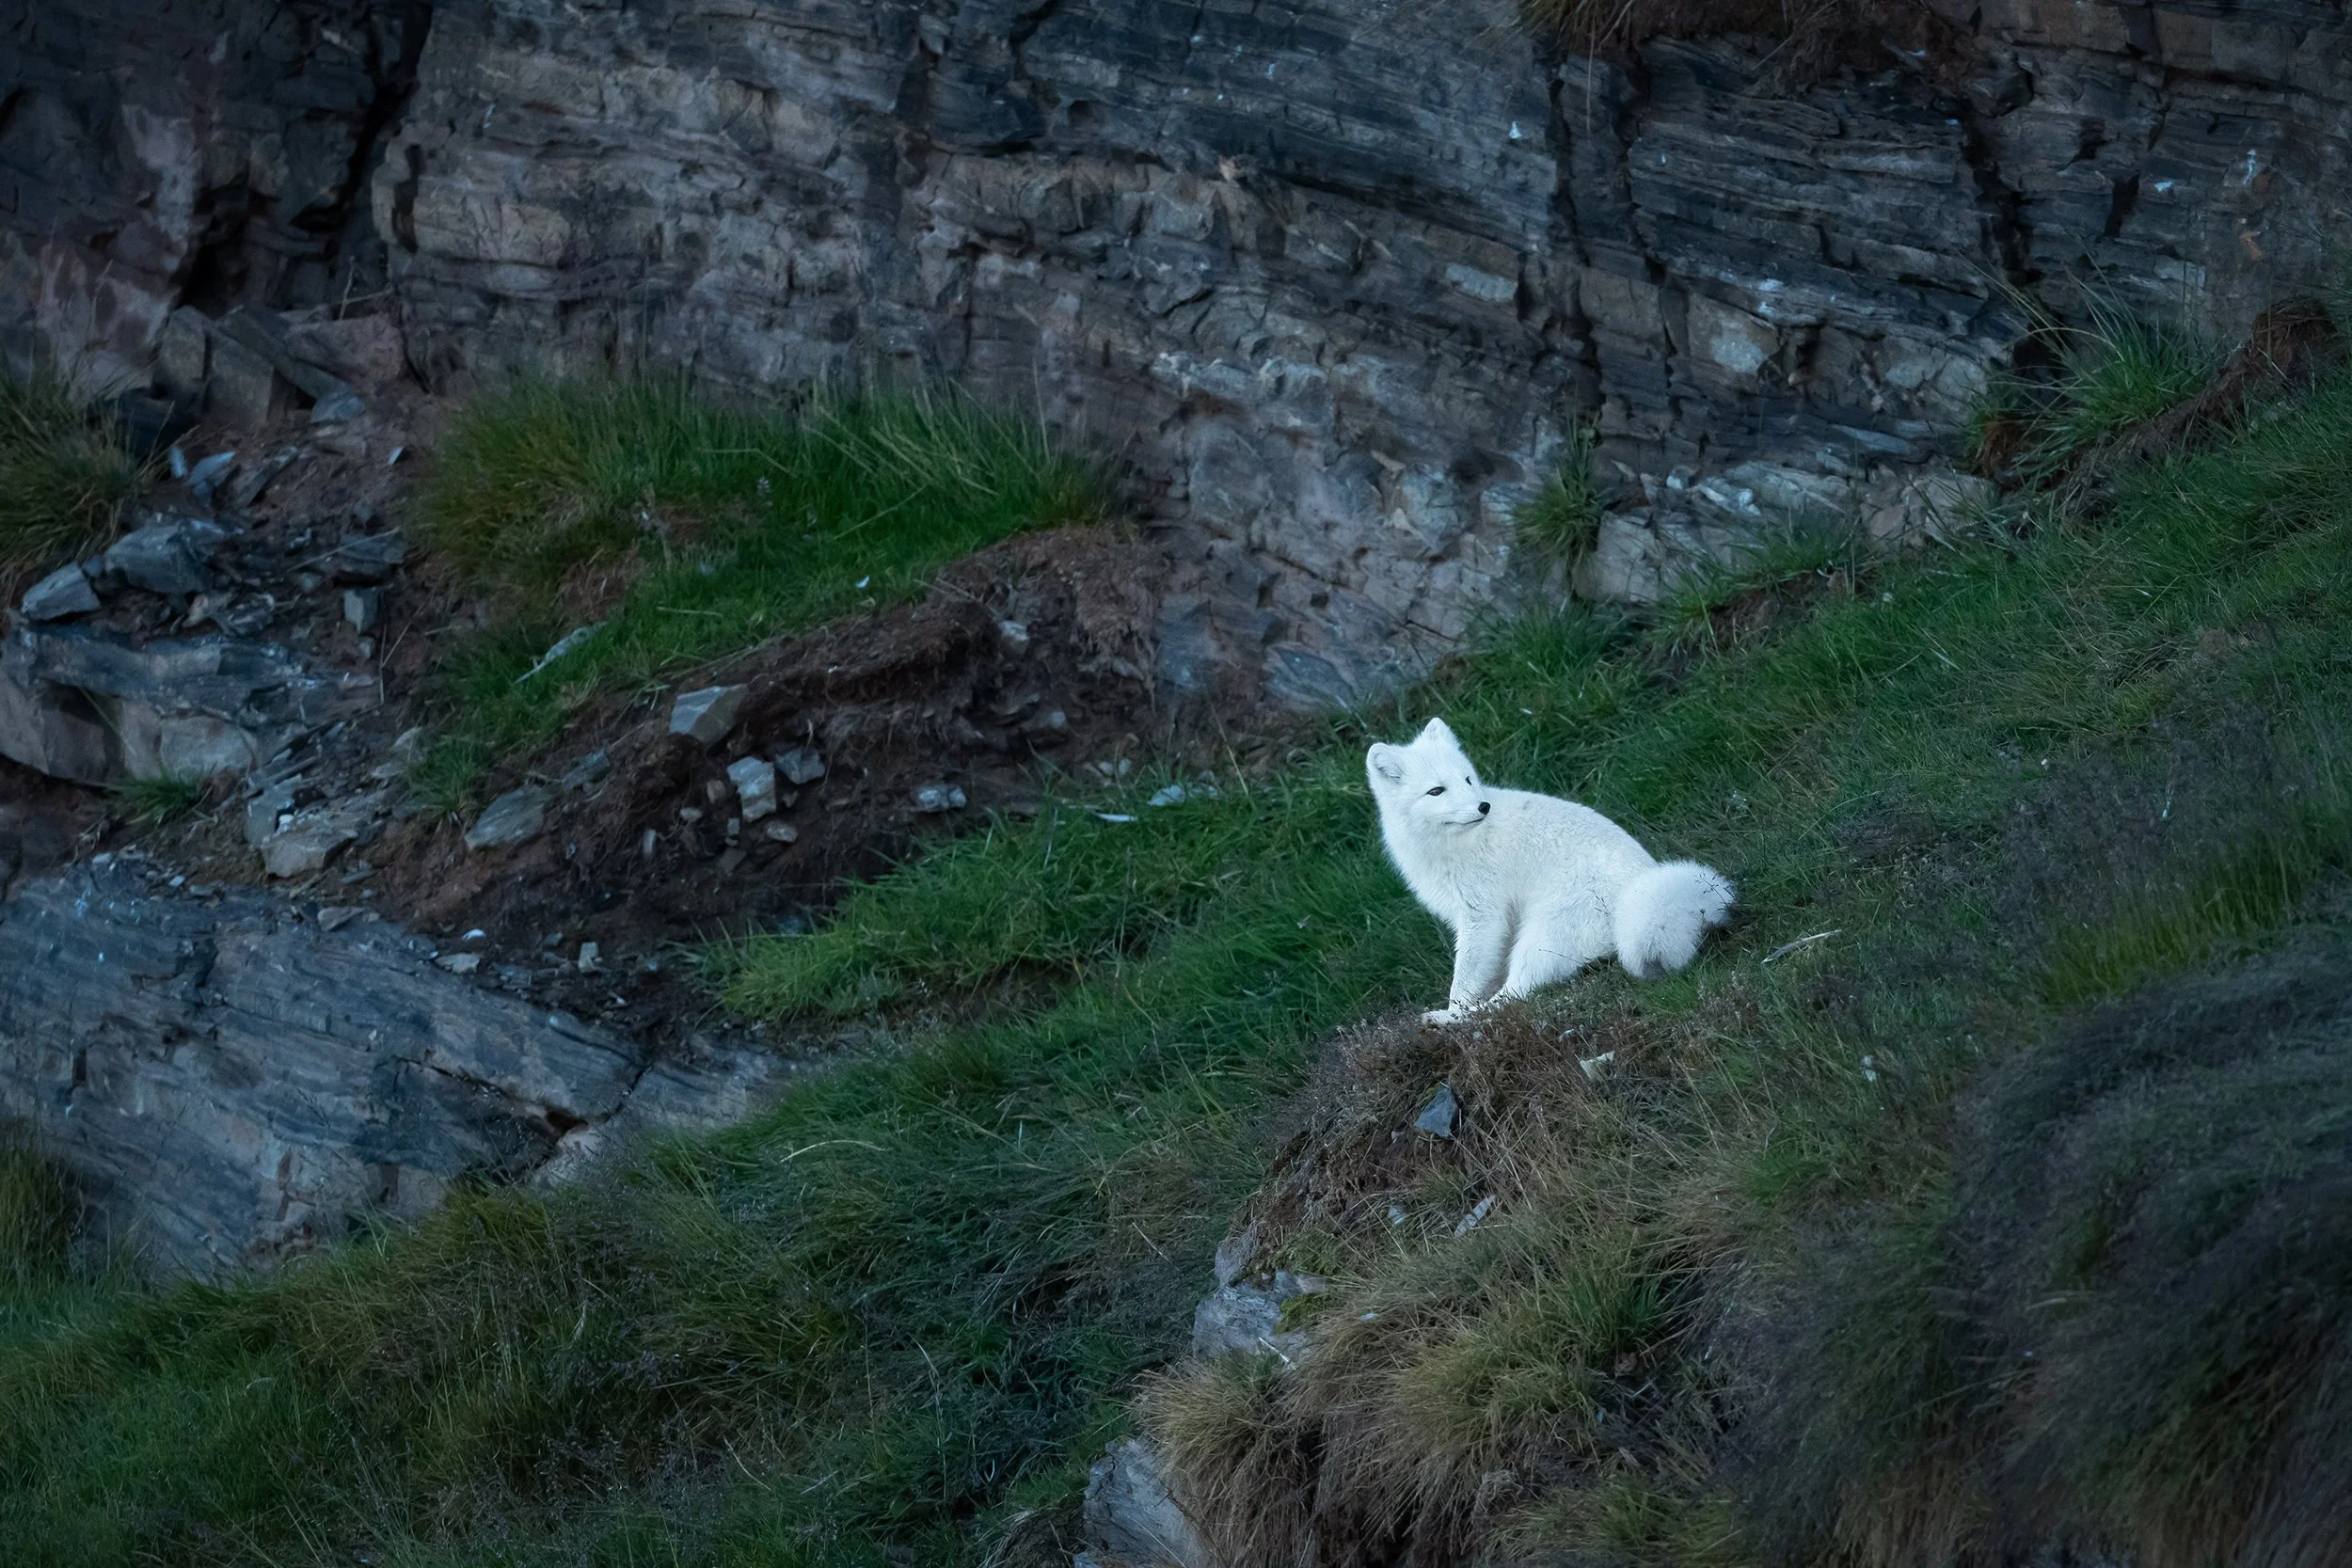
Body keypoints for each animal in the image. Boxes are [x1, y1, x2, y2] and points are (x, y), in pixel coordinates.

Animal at [1366, 718, 1734, 1023]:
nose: (1483, 806)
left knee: (1515, 995)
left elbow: (1465, 981)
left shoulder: (1480, 916)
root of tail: (1637, 887)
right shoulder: (1494, 922)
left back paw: (1452, 1020)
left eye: (1467, 780)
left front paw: (1454, 1008)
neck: (1447, 844)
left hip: (1541, 938)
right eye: (1436, 790)